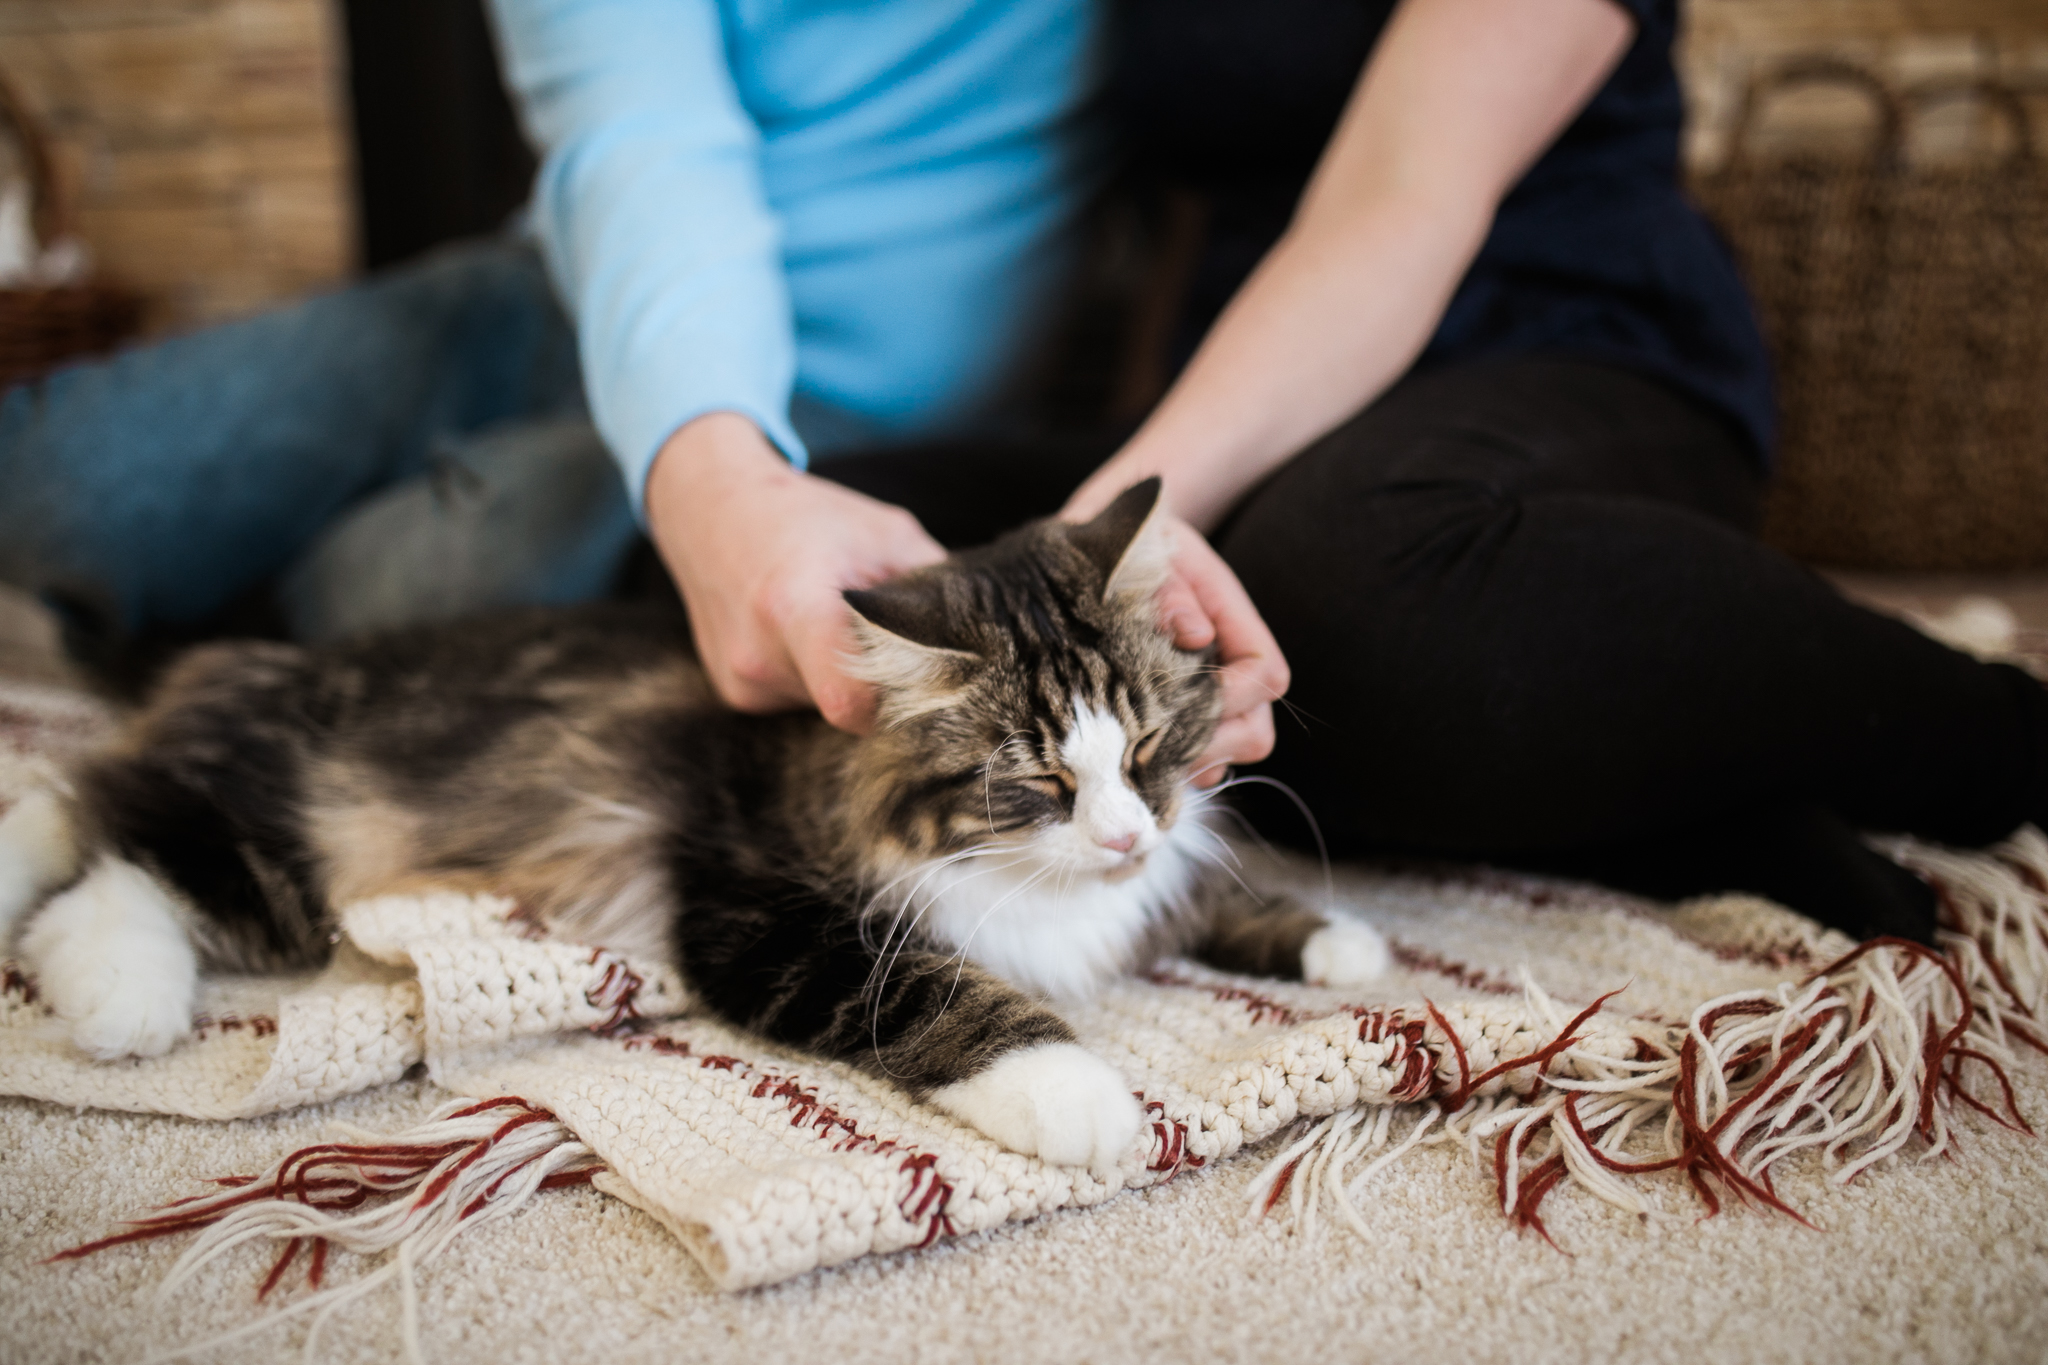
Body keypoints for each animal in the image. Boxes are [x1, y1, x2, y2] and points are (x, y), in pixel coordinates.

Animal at [0, 480, 1384, 1178]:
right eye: (1036, 785)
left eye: (1145, 753)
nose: (1117, 840)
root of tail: (240, 662)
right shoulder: (760, 911)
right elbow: (957, 999)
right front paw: (1084, 1099)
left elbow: (1211, 896)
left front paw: (1343, 947)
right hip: (283, 859)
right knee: (106, 849)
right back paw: (121, 1000)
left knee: (77, 802)